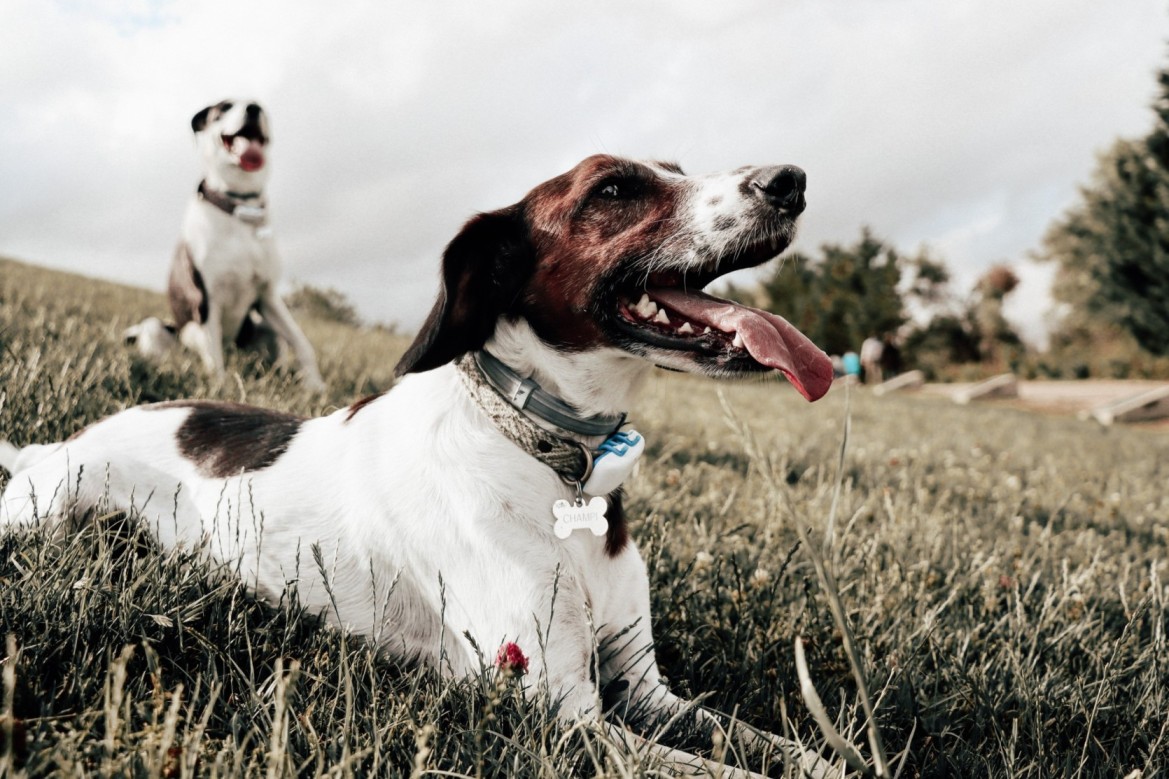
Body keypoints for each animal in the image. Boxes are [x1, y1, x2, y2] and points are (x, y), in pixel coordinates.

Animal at [4, 154, 837, 771]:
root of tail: (59, 444)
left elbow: (793, 751)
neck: (551, 461)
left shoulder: (646, 689)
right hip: (51, 513)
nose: (790, 179)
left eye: (676, 169)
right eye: (613, 188)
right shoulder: (562, 715)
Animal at [125, 98, 324, 388]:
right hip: (159, 328)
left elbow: (302, 341)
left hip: (263, 327)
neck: (238, 209)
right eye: (224, 108)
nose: (253, 108)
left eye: (261, 107)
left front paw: (315, 386)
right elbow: (213, 355)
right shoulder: (206, 301)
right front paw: (221, 388)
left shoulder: (267, 296)